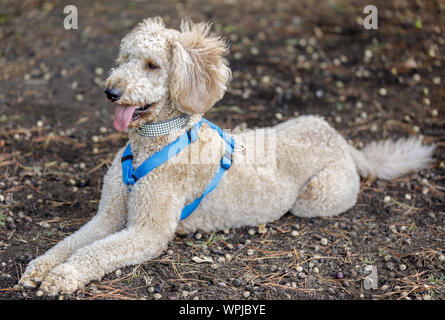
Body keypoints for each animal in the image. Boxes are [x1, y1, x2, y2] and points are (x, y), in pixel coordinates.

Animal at [19, 17, 432, 296]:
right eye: (124, 58)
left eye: (152, 65)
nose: (111, 91)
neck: (154, 142)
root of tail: (342, 141)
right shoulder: (108, 215)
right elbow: (72, 242)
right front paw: (41, 268)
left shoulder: (147, 231)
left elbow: (95, 253)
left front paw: (63, 276)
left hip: (316, 198)